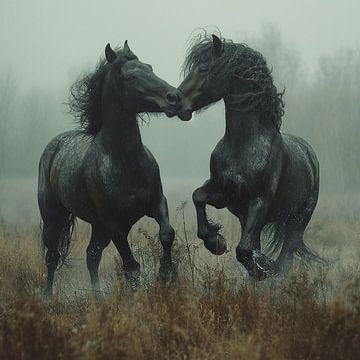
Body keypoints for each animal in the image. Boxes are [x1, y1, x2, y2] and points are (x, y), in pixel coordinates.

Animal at [38, 41, 181, 296]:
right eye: (130, 76)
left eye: (150, 67)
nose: (174, 97)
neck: (126, 161)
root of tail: (54, 146)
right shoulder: (116, 224)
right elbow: (131, 267)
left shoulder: (157, 203)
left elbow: (167, 234)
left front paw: (166, 274)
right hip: (54, 216)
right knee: (53, 256)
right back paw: (47, 296)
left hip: (98, 226)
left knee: (91, 256)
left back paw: (98, 297)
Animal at [177, 33, 320, 280]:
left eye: (203, 69)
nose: (173, 98)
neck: (242, 146)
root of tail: (310, 154)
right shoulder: (225, 195)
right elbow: (198, 197)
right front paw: (216, 242)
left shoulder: (259, 202)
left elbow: (244, 250)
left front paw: (264, 267)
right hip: (249, 219)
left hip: (297, 220)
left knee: (285, 258)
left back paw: (272, 273)